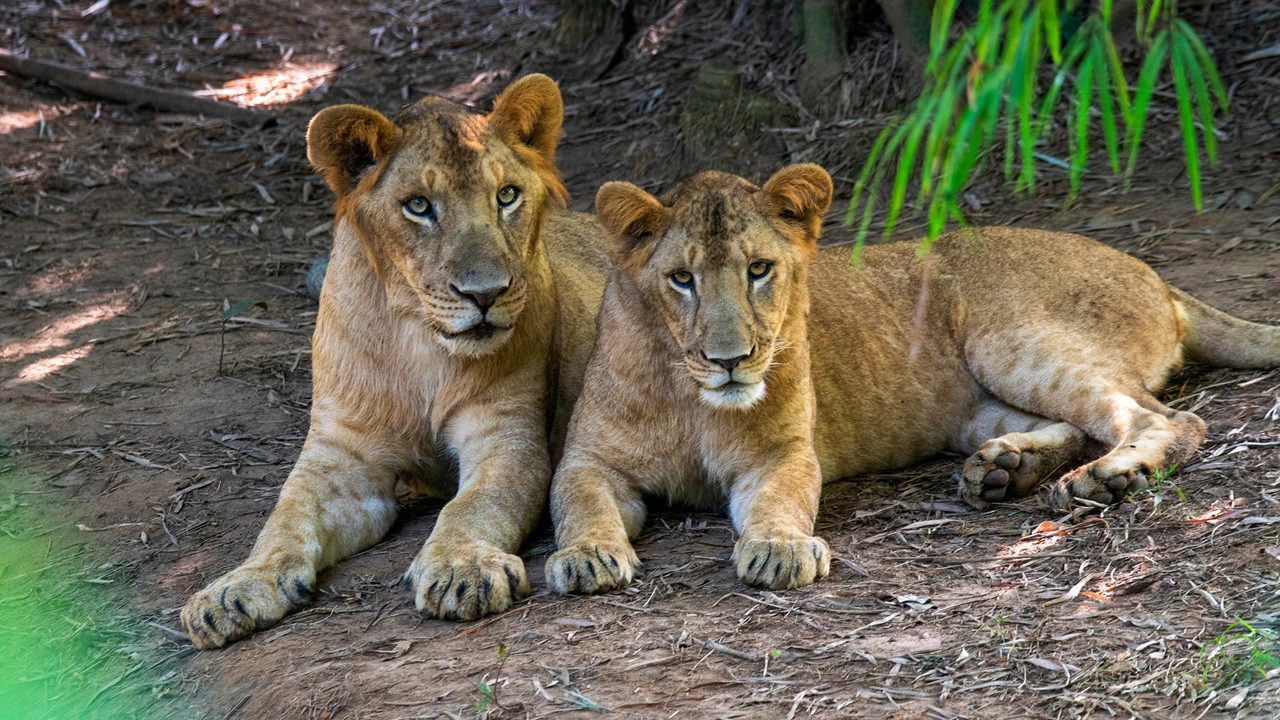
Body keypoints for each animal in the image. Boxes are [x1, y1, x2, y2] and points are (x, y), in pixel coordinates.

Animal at [181, 75, 614, 648]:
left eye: (506, 196)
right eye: (418, 205)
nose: (486, 294)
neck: (420, 345)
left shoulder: (508, 437)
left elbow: (473, 506)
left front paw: (460, 567)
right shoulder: (343, 453)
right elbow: (285, 516)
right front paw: (236, 587)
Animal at [542, 163, 1280, 594]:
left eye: (759, 270)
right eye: (681, 279)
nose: (731, 359)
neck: (692, 395)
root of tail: (1157, 275)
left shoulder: (781, 453)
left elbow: (780, 500)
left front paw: (779, 550)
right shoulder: (588, 458)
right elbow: (578, 503)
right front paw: (586, 558)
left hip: (1010, 338)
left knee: (1164, 417)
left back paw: (1109, 478)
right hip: (978, 402)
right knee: (1077, 424)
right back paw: (1004, 469)